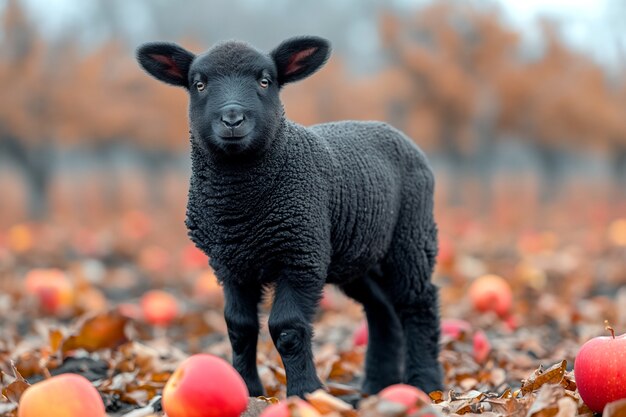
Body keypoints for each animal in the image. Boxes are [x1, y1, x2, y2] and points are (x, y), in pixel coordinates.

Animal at [135, 35, 442, 396]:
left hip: (410, 237)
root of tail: (387, 128)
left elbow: (287, 328)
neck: (238, 210)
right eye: (199, 84)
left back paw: (425, 383)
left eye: (265, 81)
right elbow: (239, 328)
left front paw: (305, 392)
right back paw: (376, 385)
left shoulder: (301, 255)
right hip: (358, 254)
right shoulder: (229, 265)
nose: (232, 119)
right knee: (381, 311)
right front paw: (248, 389)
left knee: (418, 303)